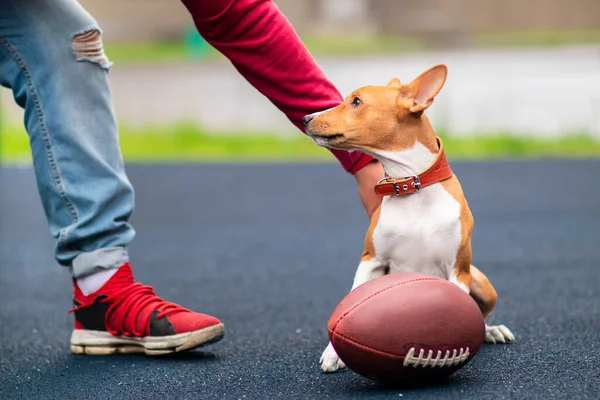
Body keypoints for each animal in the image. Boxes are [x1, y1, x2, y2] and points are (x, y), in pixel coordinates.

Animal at [304, 64, 516, 374]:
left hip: (482, 284)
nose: (306, 118)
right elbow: (352, 300)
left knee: (482, 313)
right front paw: (334, 352)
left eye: (356, 101)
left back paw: (492, 330)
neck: (412, 186)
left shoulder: (458, 270)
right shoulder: (371, 260)